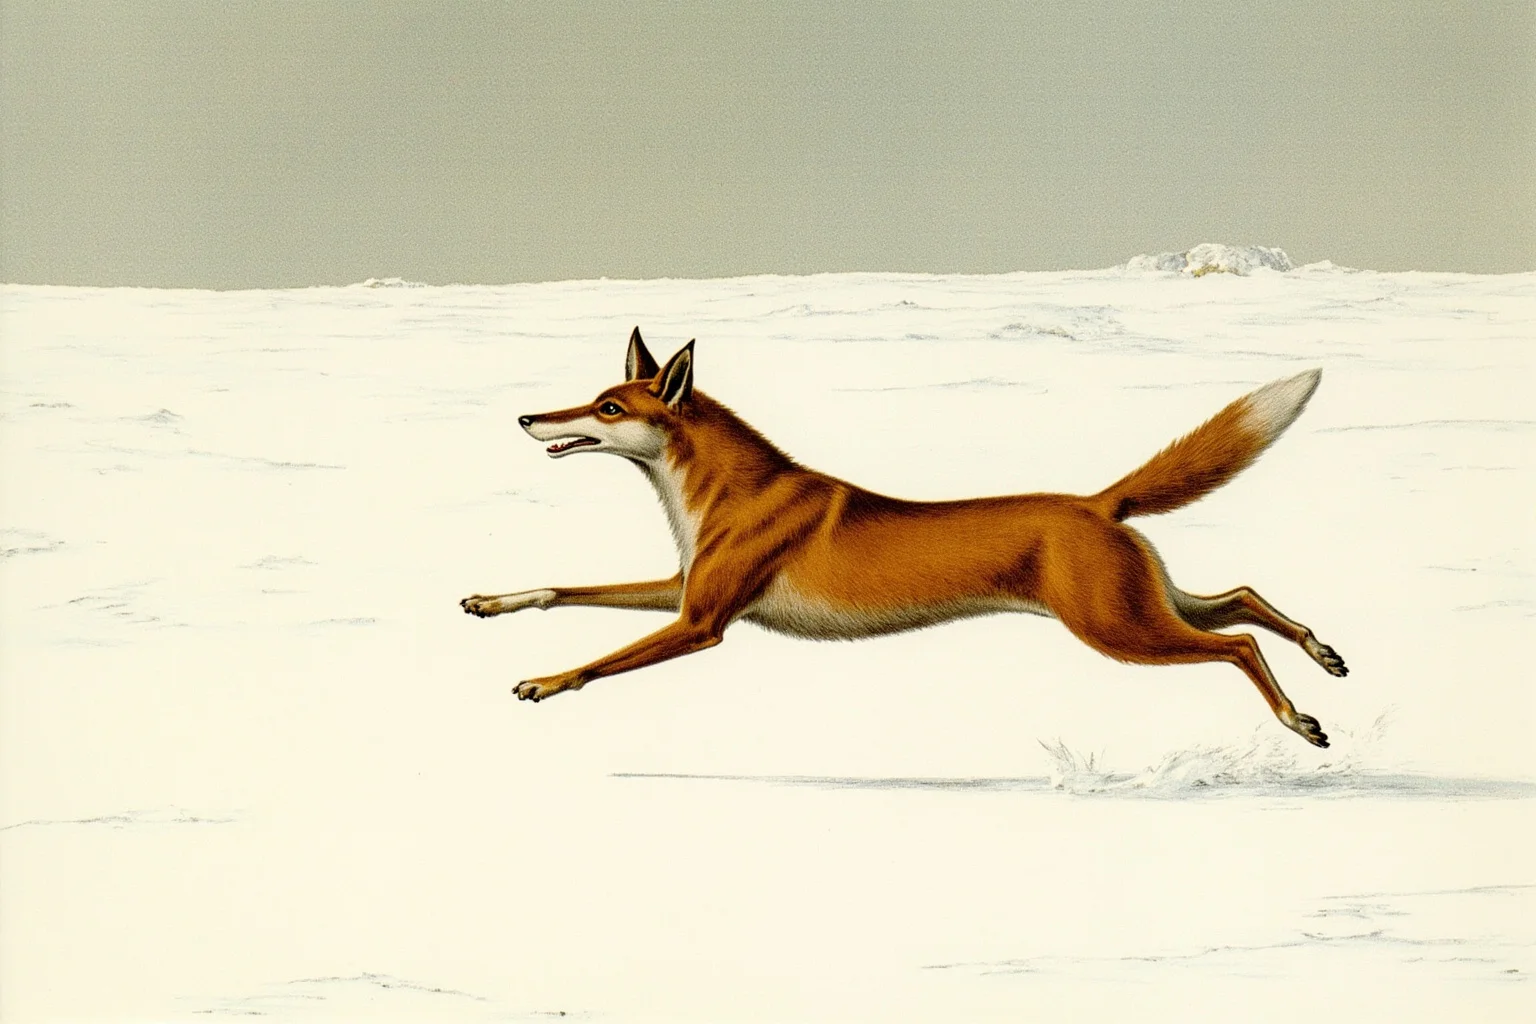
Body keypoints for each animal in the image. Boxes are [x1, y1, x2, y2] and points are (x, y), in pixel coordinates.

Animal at [462, 327, 1347, 747]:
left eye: (609, 407)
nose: (527, 417)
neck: (715, 493)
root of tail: (1097, 503)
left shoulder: (699, 623)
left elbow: (598, 660)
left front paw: (542, 682)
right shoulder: (683, 594)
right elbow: (561, 589)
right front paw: (490, 602)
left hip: (1121, 630)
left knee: (1236, 642)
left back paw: (1299, 720)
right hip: (1144, 607)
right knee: (1241, 597)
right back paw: (1325, 653)